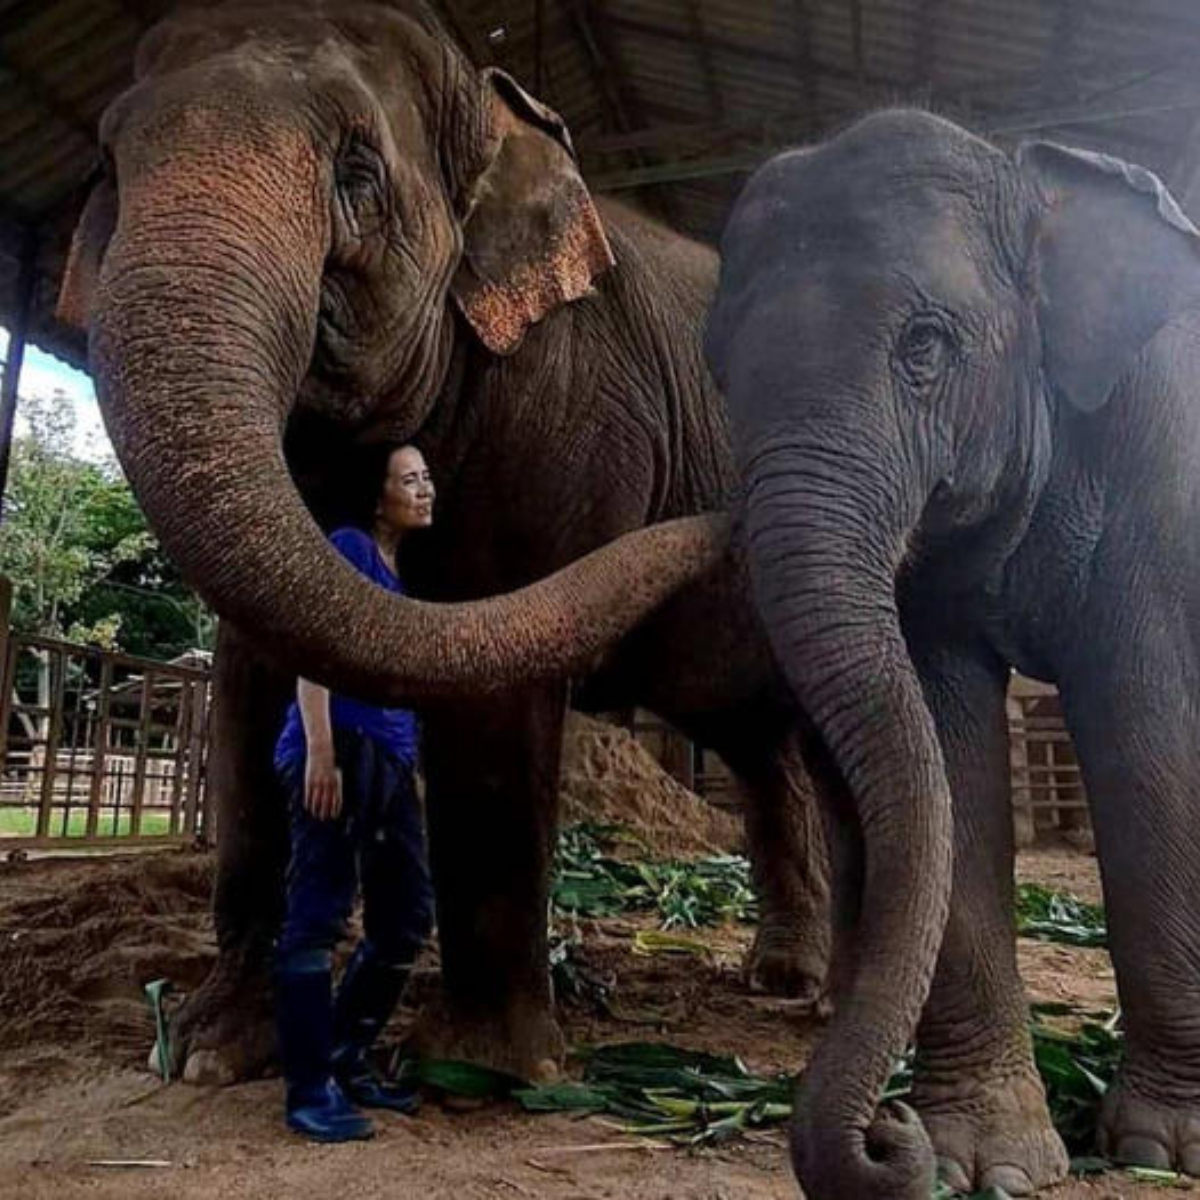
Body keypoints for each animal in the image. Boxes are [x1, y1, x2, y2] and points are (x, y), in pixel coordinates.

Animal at [56, 0, 835, 1089]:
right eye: (107, 167)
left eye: (356, 170)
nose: (726, 523)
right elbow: (256, 682)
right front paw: (213, 1053)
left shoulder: (571, 397)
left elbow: (493, 691)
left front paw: (479, 1073)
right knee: (763, 747)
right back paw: (782, 978)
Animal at [700, 108, 1200, 1195]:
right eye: (718, 372)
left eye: (923, 345)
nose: (885, 1129)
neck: (1032, 182)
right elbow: (948, 747)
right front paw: (984, 1163)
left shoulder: (1157, 471)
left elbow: (1145, 739)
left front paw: (1162, 1150)